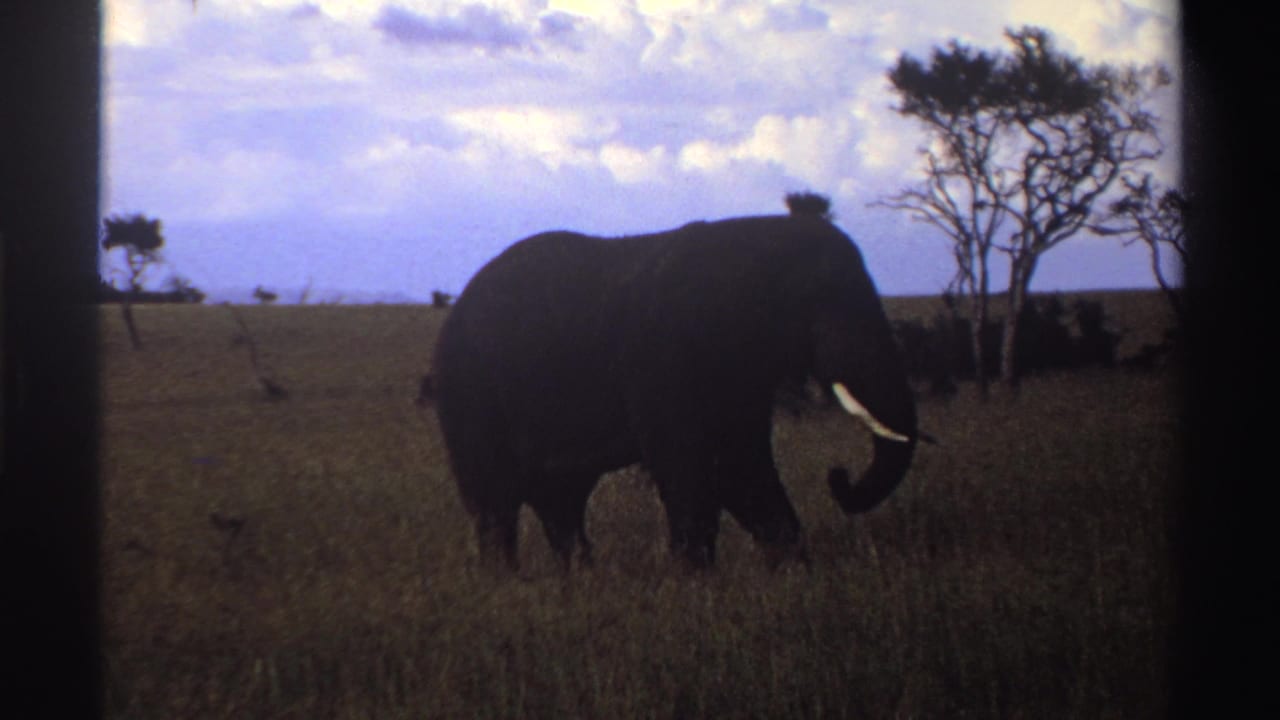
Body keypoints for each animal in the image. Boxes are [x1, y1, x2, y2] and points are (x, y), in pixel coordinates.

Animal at [431, 213, 918, 570]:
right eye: (815, 301)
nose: (839, 477)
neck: (755, 239)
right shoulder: (665, 358)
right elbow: (695, 468)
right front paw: (695, 585)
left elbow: (741, 468)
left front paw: (793, 573)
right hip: (468, 391)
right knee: (496, 501)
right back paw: (508, 585)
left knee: (560, 500)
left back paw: (579, 579)